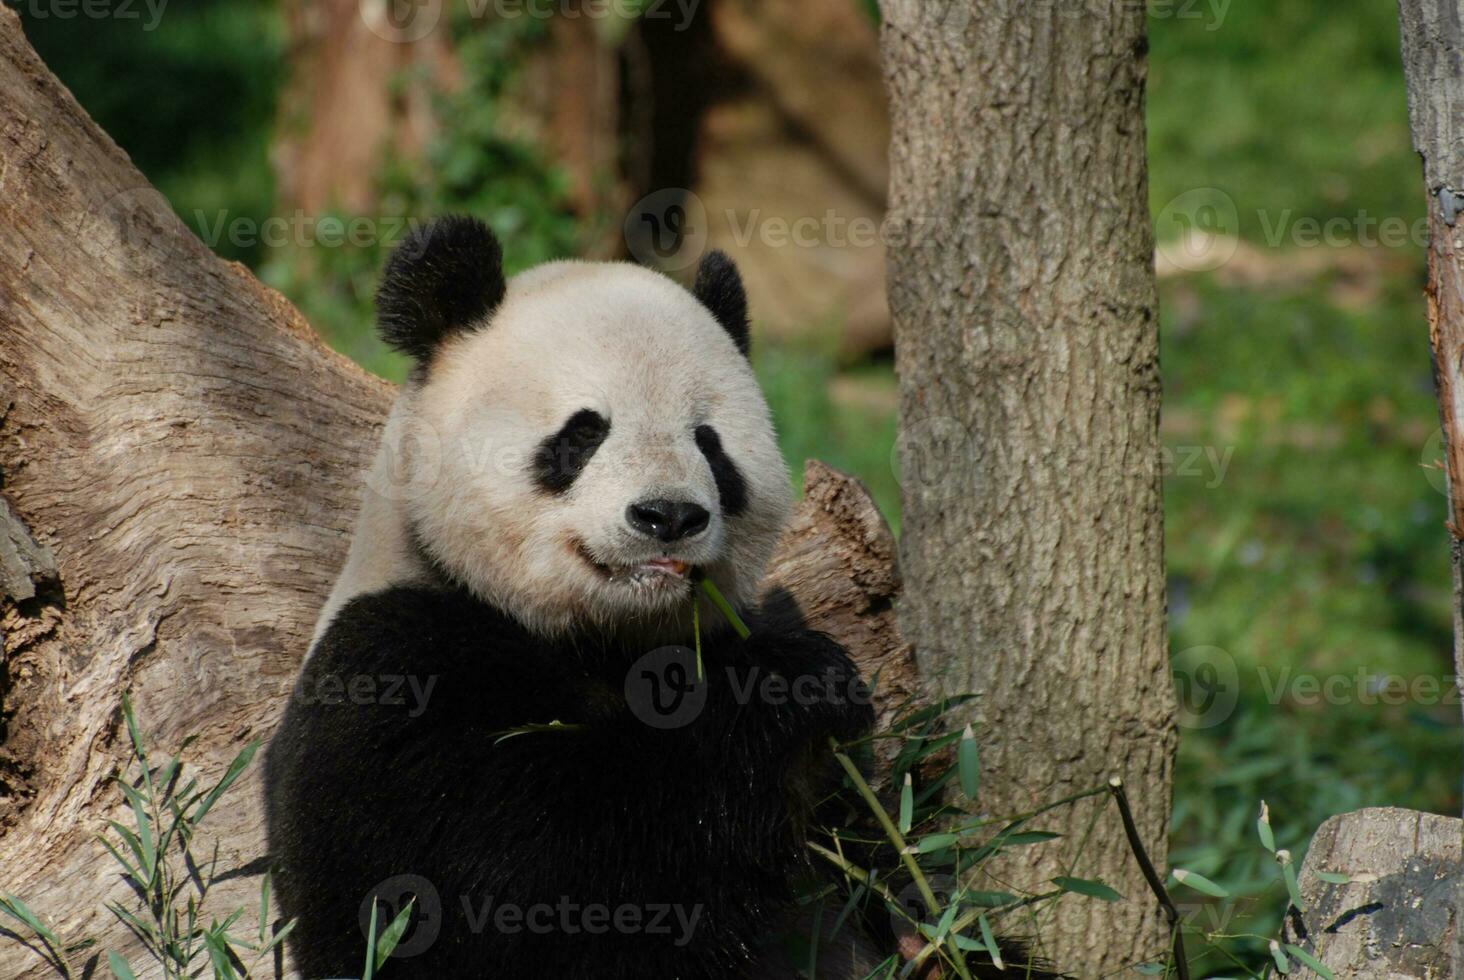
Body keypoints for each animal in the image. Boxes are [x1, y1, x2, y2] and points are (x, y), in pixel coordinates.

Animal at [266, 215, 1065, 978]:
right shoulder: (392, 674)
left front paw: (928, 929)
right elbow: (494, 897)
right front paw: (794, 684)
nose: (669, 517)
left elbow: (890, 867)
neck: (605, 637)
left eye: (709, 443)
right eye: (582, 433)